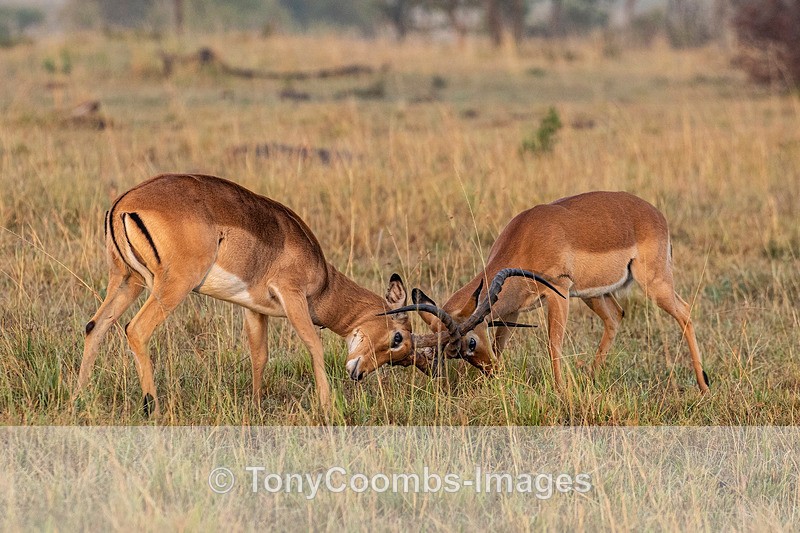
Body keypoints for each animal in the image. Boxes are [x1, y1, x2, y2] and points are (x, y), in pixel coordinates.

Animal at [77, 173, 416, 417]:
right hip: (172, 285)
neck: (324, 282)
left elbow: (259, 355)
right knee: (135, 329)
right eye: (398, 338)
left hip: (127, 280)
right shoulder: (292, 295)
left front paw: (255, 405)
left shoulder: (255, 309)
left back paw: (81, 397)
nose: (360, 374)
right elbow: (314, 346)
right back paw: (153, 408)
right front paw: (327, 406)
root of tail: (123, 202)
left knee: (95, 326)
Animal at [385, 191, 710, 393]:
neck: (526, 239)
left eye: (471, 342)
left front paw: (560, 391)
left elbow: (554, 344)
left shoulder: (559, 292)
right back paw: (590, 379)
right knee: (616, 317)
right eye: (452, 354)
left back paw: (704, 385)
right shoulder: (512, 309)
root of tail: (656, 214)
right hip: (594, 294)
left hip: (654, 284)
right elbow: (502, 345)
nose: (491, 372)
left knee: (685, 312)